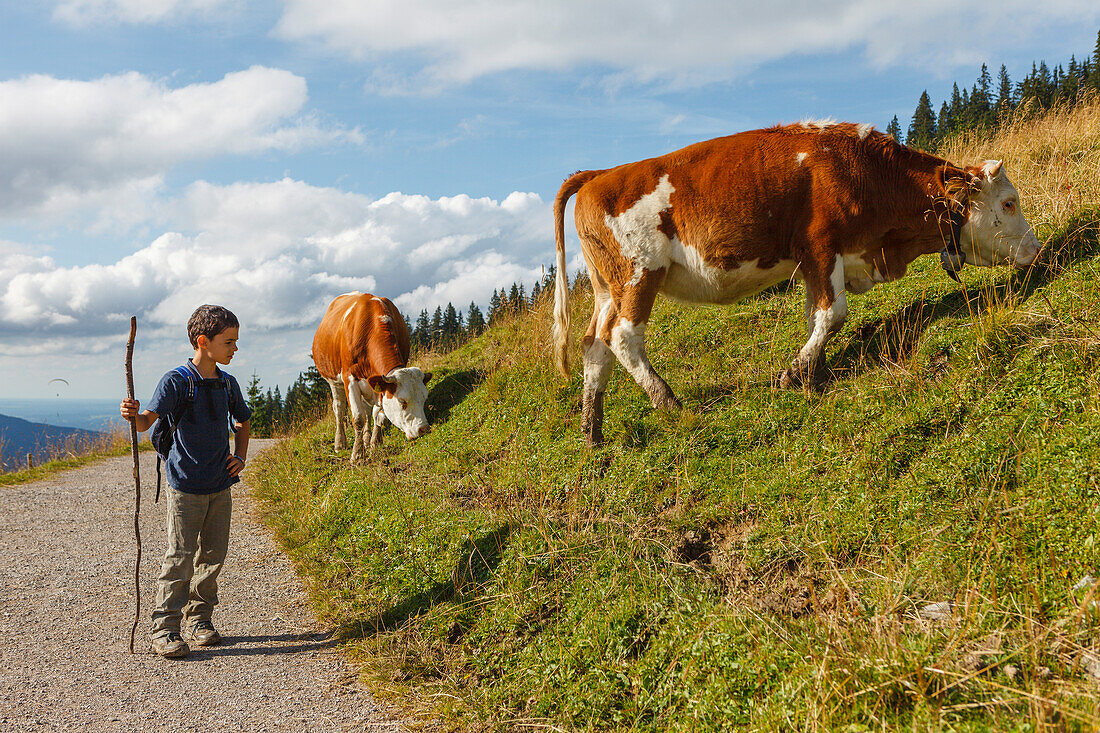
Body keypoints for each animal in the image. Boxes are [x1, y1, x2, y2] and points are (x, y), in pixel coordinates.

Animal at [312, 290, 431, 457]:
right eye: (402, 402)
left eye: (424, 398)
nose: (424, 429)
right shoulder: (350, 379)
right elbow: (358, 418)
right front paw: (357, 454)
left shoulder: (381, 385)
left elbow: (377, 415)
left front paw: (374, 442)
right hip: (333, 380)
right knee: (339, 409)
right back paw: (340, 442)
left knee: (367, 410)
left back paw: (367, 439)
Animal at [554, 120, 1042, 442]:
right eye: (1009, 202)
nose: (1036, 250)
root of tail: (600, 174)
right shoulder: (822, 247)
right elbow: (834, 313)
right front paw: (794, 374)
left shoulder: (815, 263)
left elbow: (815, 316)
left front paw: (813, 371)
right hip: (640, 275)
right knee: (623, 337)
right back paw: (668, 403)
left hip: (607, 288)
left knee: (593, 345)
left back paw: (592, 429)